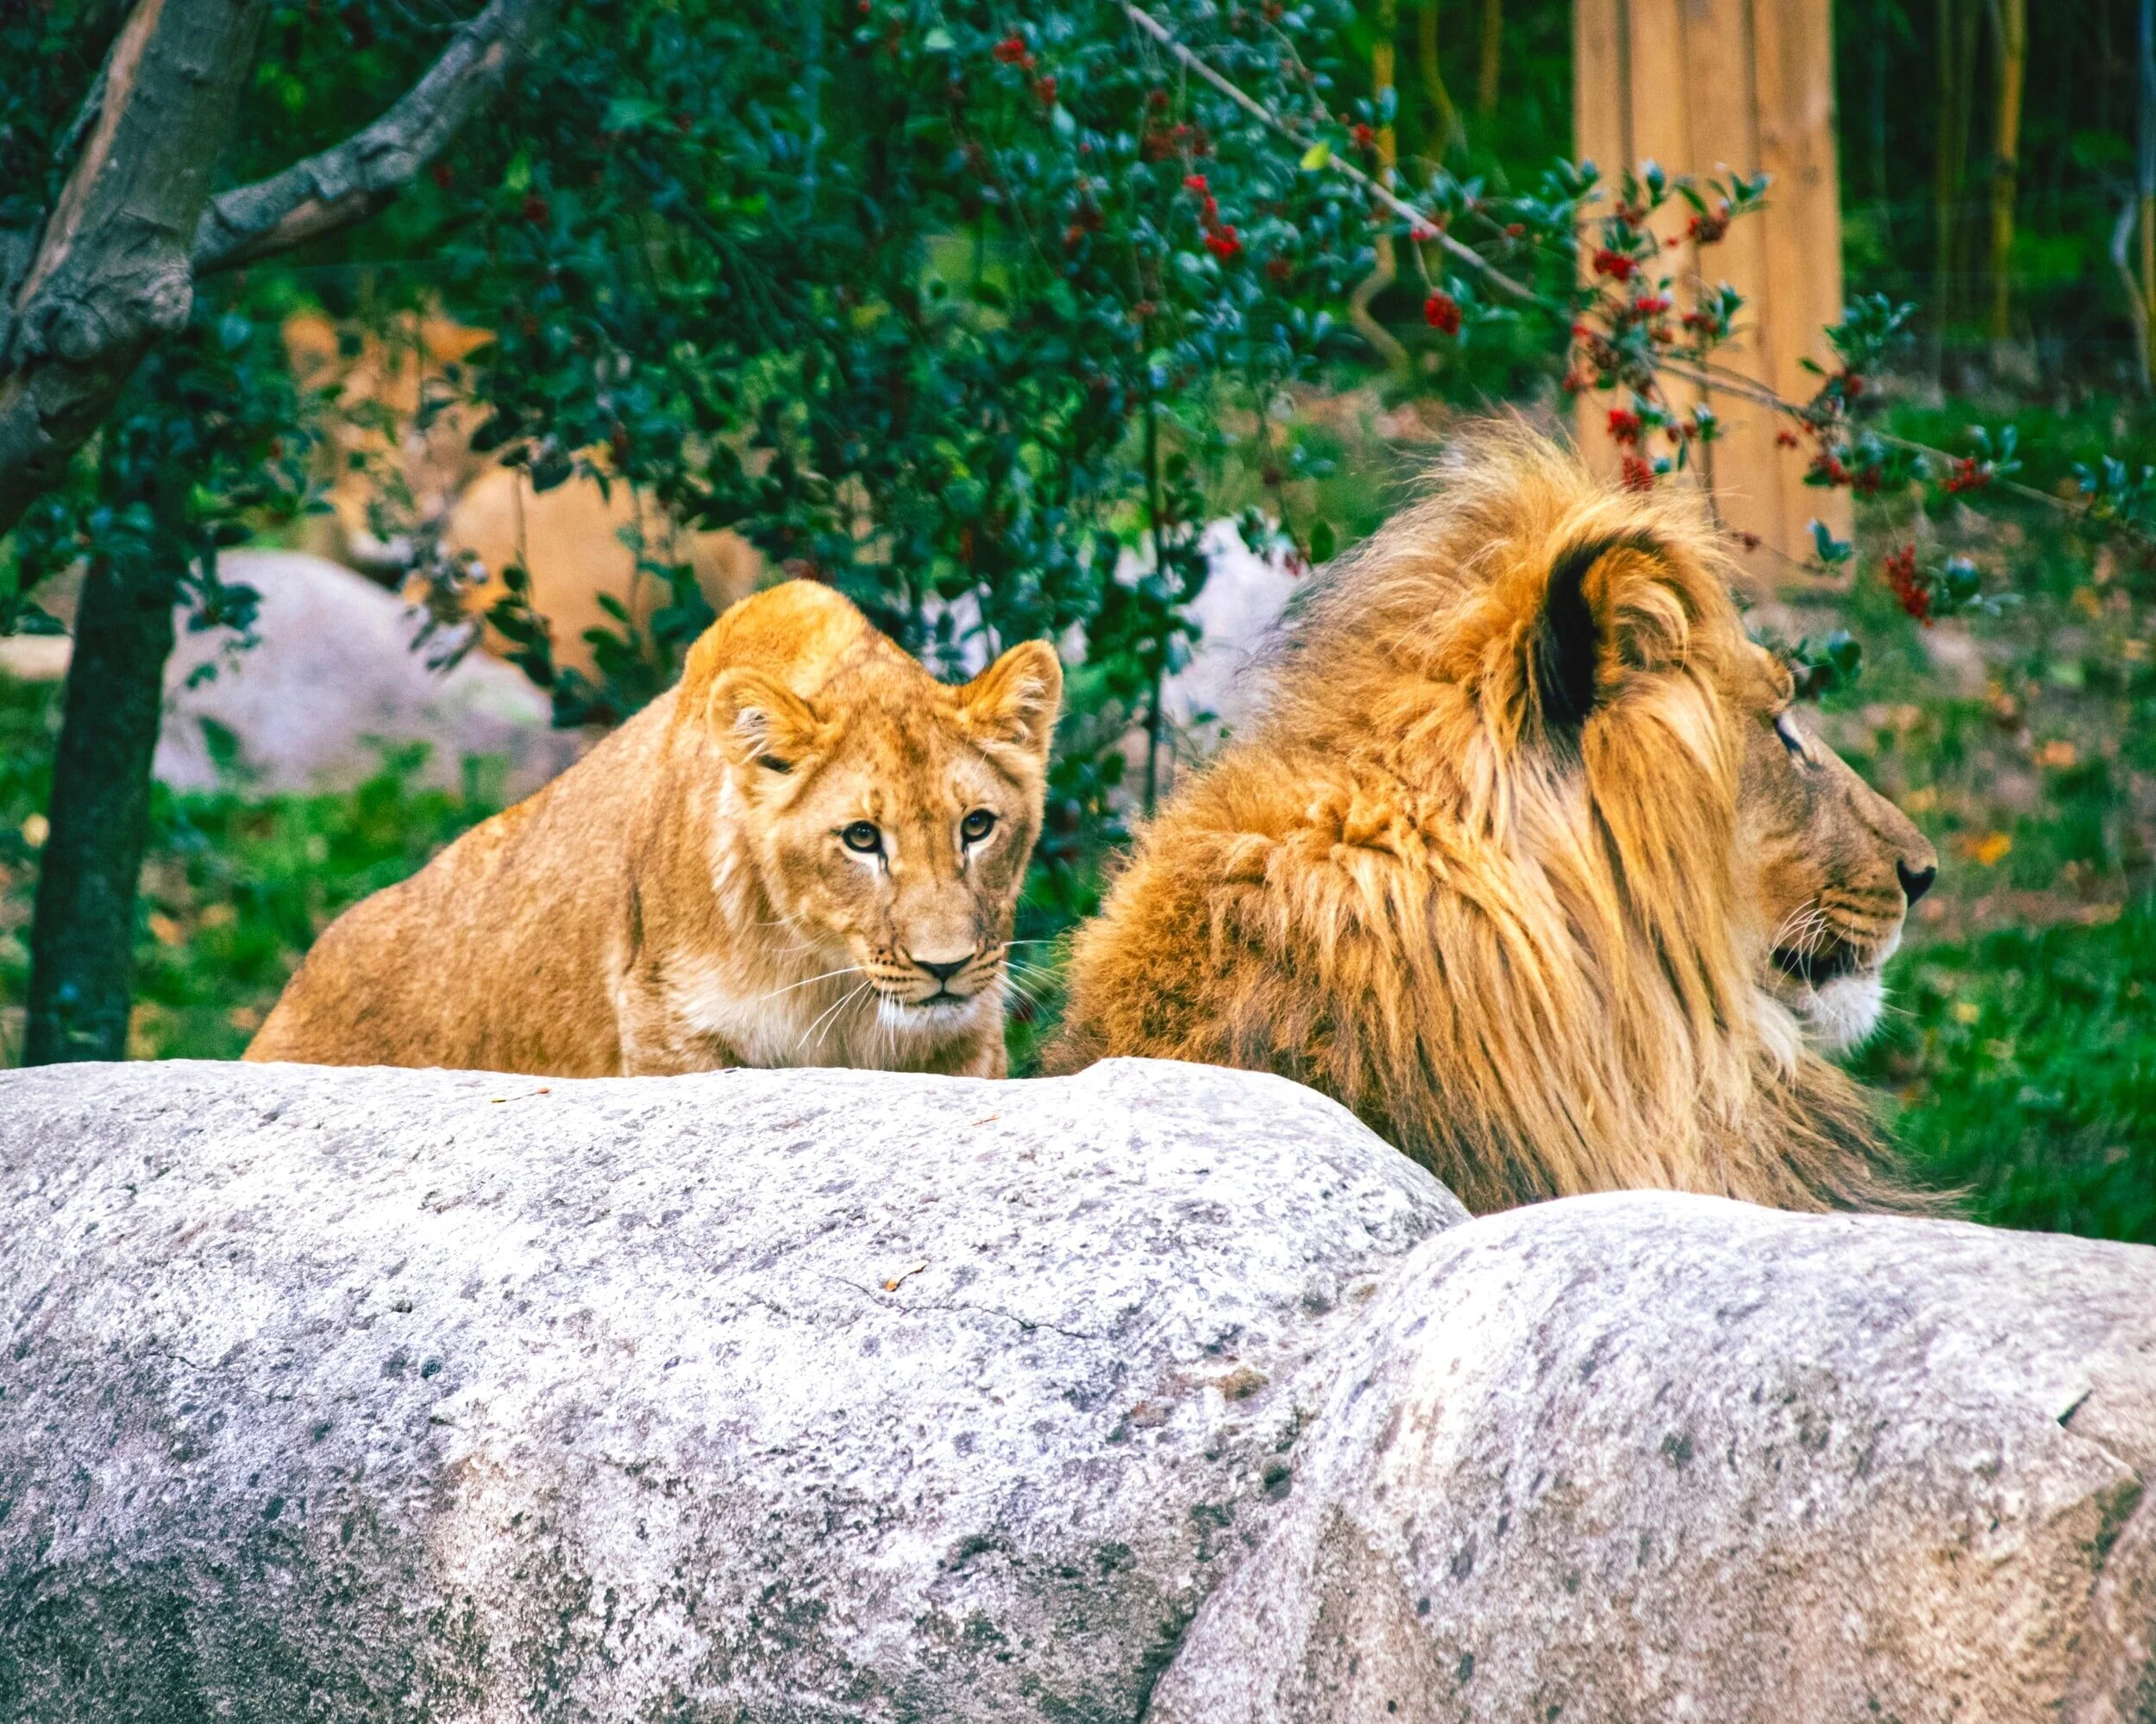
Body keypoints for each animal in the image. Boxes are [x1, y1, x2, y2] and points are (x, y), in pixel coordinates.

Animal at [247, 580, 1062, 1078]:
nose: (945, 966)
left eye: (977, 826)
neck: (827, 983)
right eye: (861, 838)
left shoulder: (965, 1041)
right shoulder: (669, 1031)